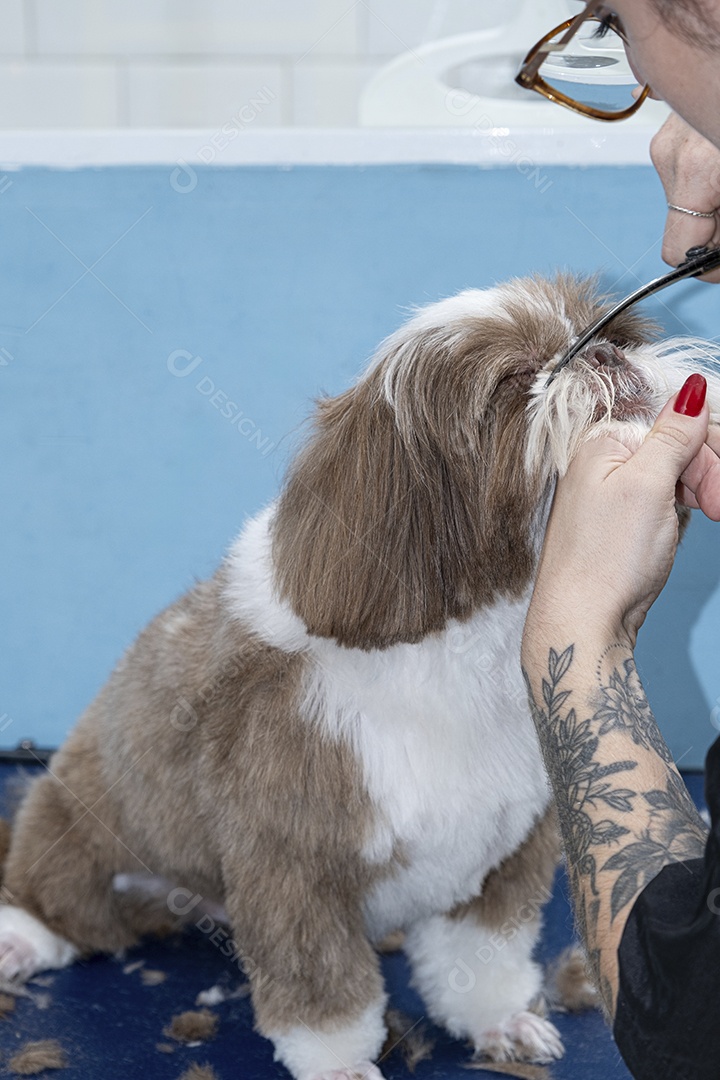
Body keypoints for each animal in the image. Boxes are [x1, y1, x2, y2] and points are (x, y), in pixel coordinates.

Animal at [0, 274, 716, 1075]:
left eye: (616, 335)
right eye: (514, 383)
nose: (602, 356)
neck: (463, 648)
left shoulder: (508, 853)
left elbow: (481, 957)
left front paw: (500, 1021)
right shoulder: (294, 864)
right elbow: (323, 990)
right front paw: (341, 1062)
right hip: (80, 829)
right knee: (56, 902)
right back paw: (21, 938)